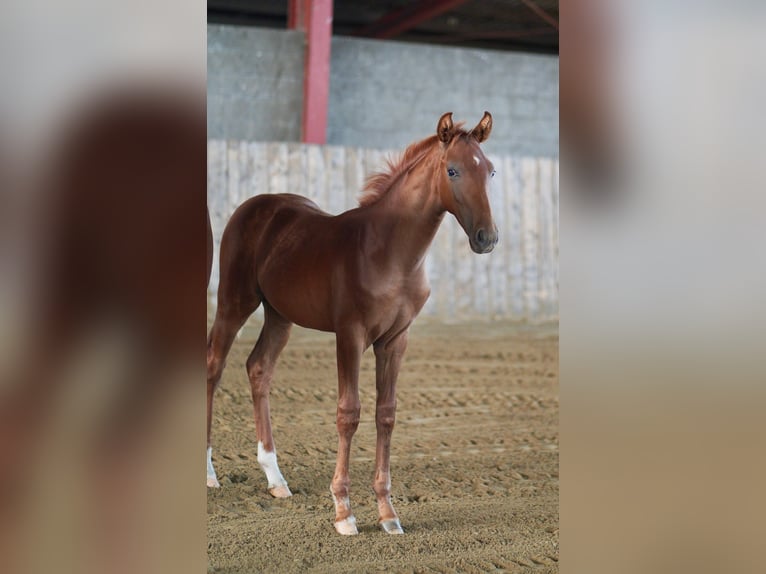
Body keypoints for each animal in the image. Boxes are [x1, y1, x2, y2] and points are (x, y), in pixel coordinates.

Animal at [207, 112, 500, 536]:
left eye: (491, 171)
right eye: (453, 170)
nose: (486, 238)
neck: (390, 252)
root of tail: (254, 205)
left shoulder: (396, 340)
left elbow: (386, 414)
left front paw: (388, 513)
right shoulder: (350, 334)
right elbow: (349, 413)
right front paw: (344, 512)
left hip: (280, 315)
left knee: (258, 368)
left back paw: (276, 480)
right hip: (235, 301)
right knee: (214, 365)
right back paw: (209, 472)